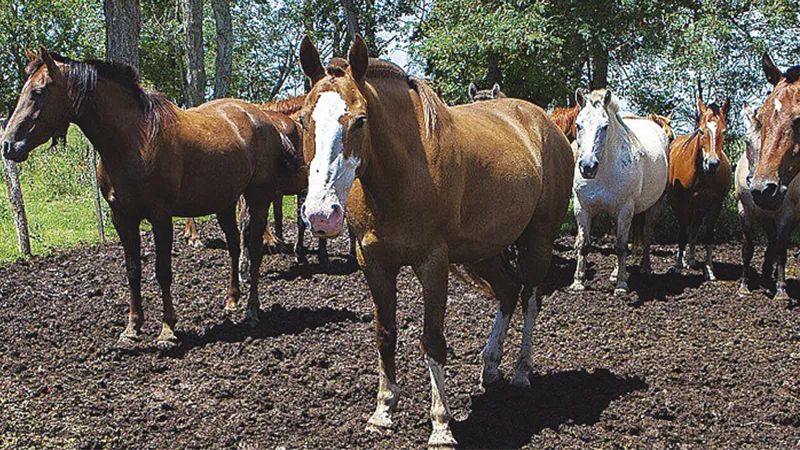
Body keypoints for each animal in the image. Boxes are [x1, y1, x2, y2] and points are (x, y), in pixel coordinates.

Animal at [1, 49, 297, 347]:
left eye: (38, 92)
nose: (7, 144)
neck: (134, 141)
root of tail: (264, 119)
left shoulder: (160, 216)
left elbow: (163, 271)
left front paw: (167, 329)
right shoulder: (122, 217)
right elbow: (133, 270)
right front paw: (132, 327)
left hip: (258, 199)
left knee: (254, 251)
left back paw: (251, 311)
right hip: (224, 201)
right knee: (235, 245)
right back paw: (232, 300)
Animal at [298, 36, 573, 448]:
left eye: (360, 120)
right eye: (303, 120)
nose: (320, 214)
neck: (401, 173)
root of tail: (545, 125)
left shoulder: (433, 263)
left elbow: (432, 341)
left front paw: (441, 426)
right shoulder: (373, 263)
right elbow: (385, 333)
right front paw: (383, 412)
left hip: (537, 240)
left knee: (530, 299)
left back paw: (521, 372)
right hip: (484, 250)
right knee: (508, 291)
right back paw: (490, 367)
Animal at [570, 89, 669, 294]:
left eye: (605, 126)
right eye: (578, 125)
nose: (588, 167)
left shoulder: (625, 209)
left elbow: (622, 246)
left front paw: (622, 286)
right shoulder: (582, 208)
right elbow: (583, 244)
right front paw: (578, 282)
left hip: (653, 206)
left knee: (646, 236)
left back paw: (645, 268)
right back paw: (615, 274)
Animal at [667, 97, 731, 280]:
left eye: (724, 131)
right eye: (702, 131)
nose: (712, 164)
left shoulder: (715, 205)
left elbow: (708, 235)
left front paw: (708, 268)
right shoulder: (680, 203)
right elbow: (682, 233)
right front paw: (678, 266)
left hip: (699, 207)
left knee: (694, 229)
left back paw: (691, 259)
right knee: (687, 229)